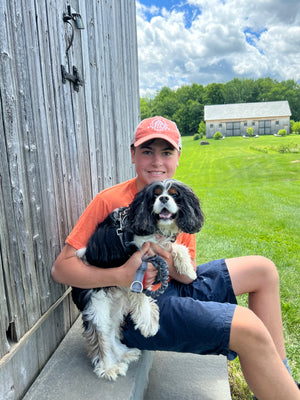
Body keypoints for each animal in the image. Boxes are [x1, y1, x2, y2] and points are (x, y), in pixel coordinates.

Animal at [72, 180, 204, 380]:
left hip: (116, 304)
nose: (163, 198)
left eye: (174, 194)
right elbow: (140, 292)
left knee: (111, 329)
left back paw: (123, 353)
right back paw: (109, 367)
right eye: (156, 194)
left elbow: (175, 247)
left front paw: (187, 268)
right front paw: (148, 322)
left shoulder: (158, 248)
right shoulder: (140, 263)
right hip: (97, 303)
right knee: (101, 334)